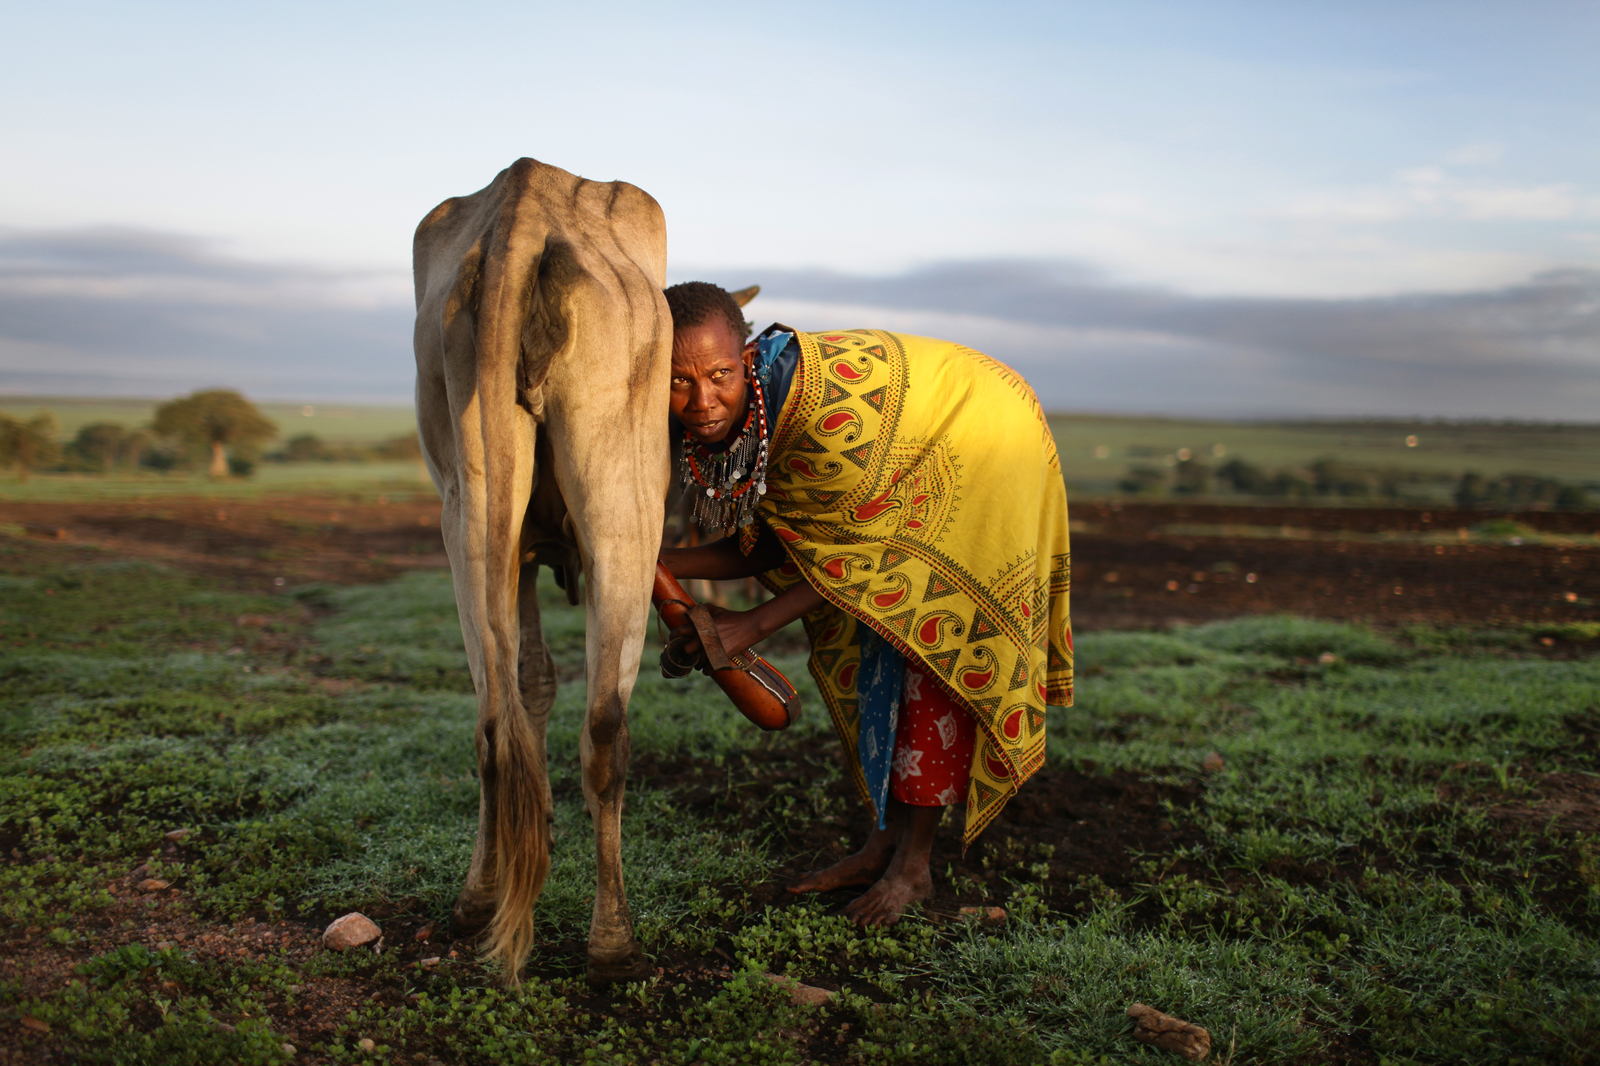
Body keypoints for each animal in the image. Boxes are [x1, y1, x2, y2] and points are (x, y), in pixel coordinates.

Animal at [412, 156, 668, 979]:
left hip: (464, 504)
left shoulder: (516, 550)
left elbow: (528, 681)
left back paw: (476, 901)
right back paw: (613, 941)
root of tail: (522, 217)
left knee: (492, 716)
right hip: (625, 505)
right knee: (608, 725)